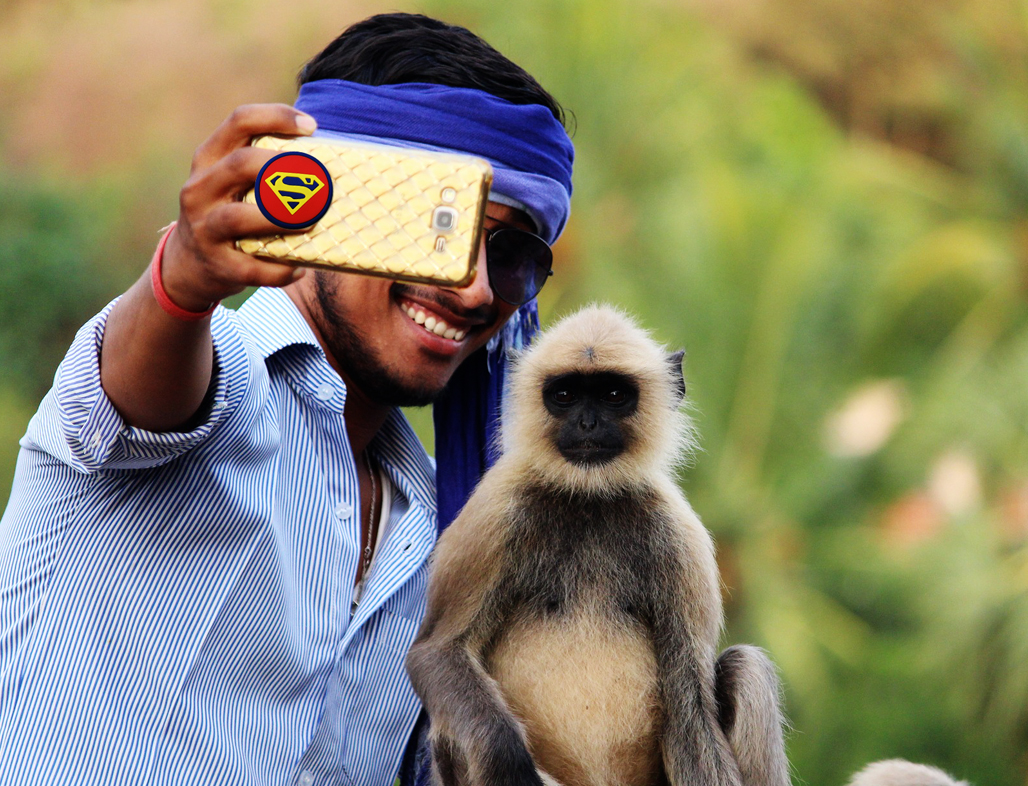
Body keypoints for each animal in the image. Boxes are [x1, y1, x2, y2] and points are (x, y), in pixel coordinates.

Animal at [405, 304, 789, 784]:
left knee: (744, 666)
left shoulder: (680, 539)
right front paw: (508, 759)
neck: (589, 498)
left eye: (613, 394)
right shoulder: (494, 514)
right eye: (565, 395)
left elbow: (691, 709)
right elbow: (436, 653)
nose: (587, 424)